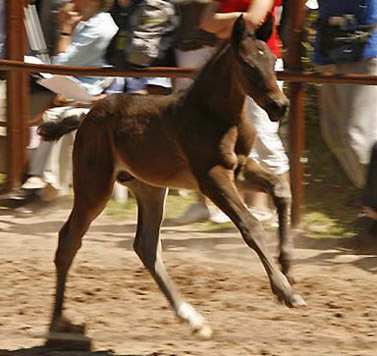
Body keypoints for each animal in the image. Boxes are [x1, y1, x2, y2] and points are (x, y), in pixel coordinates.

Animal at [44, 16, 304, 344]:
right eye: (247, 65)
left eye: (271, 60)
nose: (279, 106)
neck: (215, 115)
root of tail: (86, 114)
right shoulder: (212, 177)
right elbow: (250, 225)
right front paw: (286, 292)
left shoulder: (240, 170)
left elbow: (281, 190)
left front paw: (288, 267)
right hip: (95, 187)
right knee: (69, 240)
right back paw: (57, 323)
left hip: (150, 188)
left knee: (146, 246)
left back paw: (193, 319)